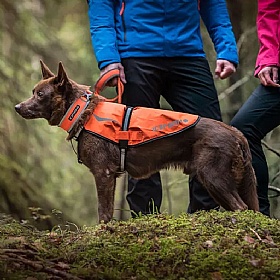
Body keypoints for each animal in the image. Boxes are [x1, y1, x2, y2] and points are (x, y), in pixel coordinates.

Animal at [14, 61, 260, 223]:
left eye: (40, 95)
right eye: (33, 91)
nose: (17, 107)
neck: (83, 111)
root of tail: (236, 133)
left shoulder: (103, 173)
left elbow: (103, 212)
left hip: (212, 176)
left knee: (241, 207)